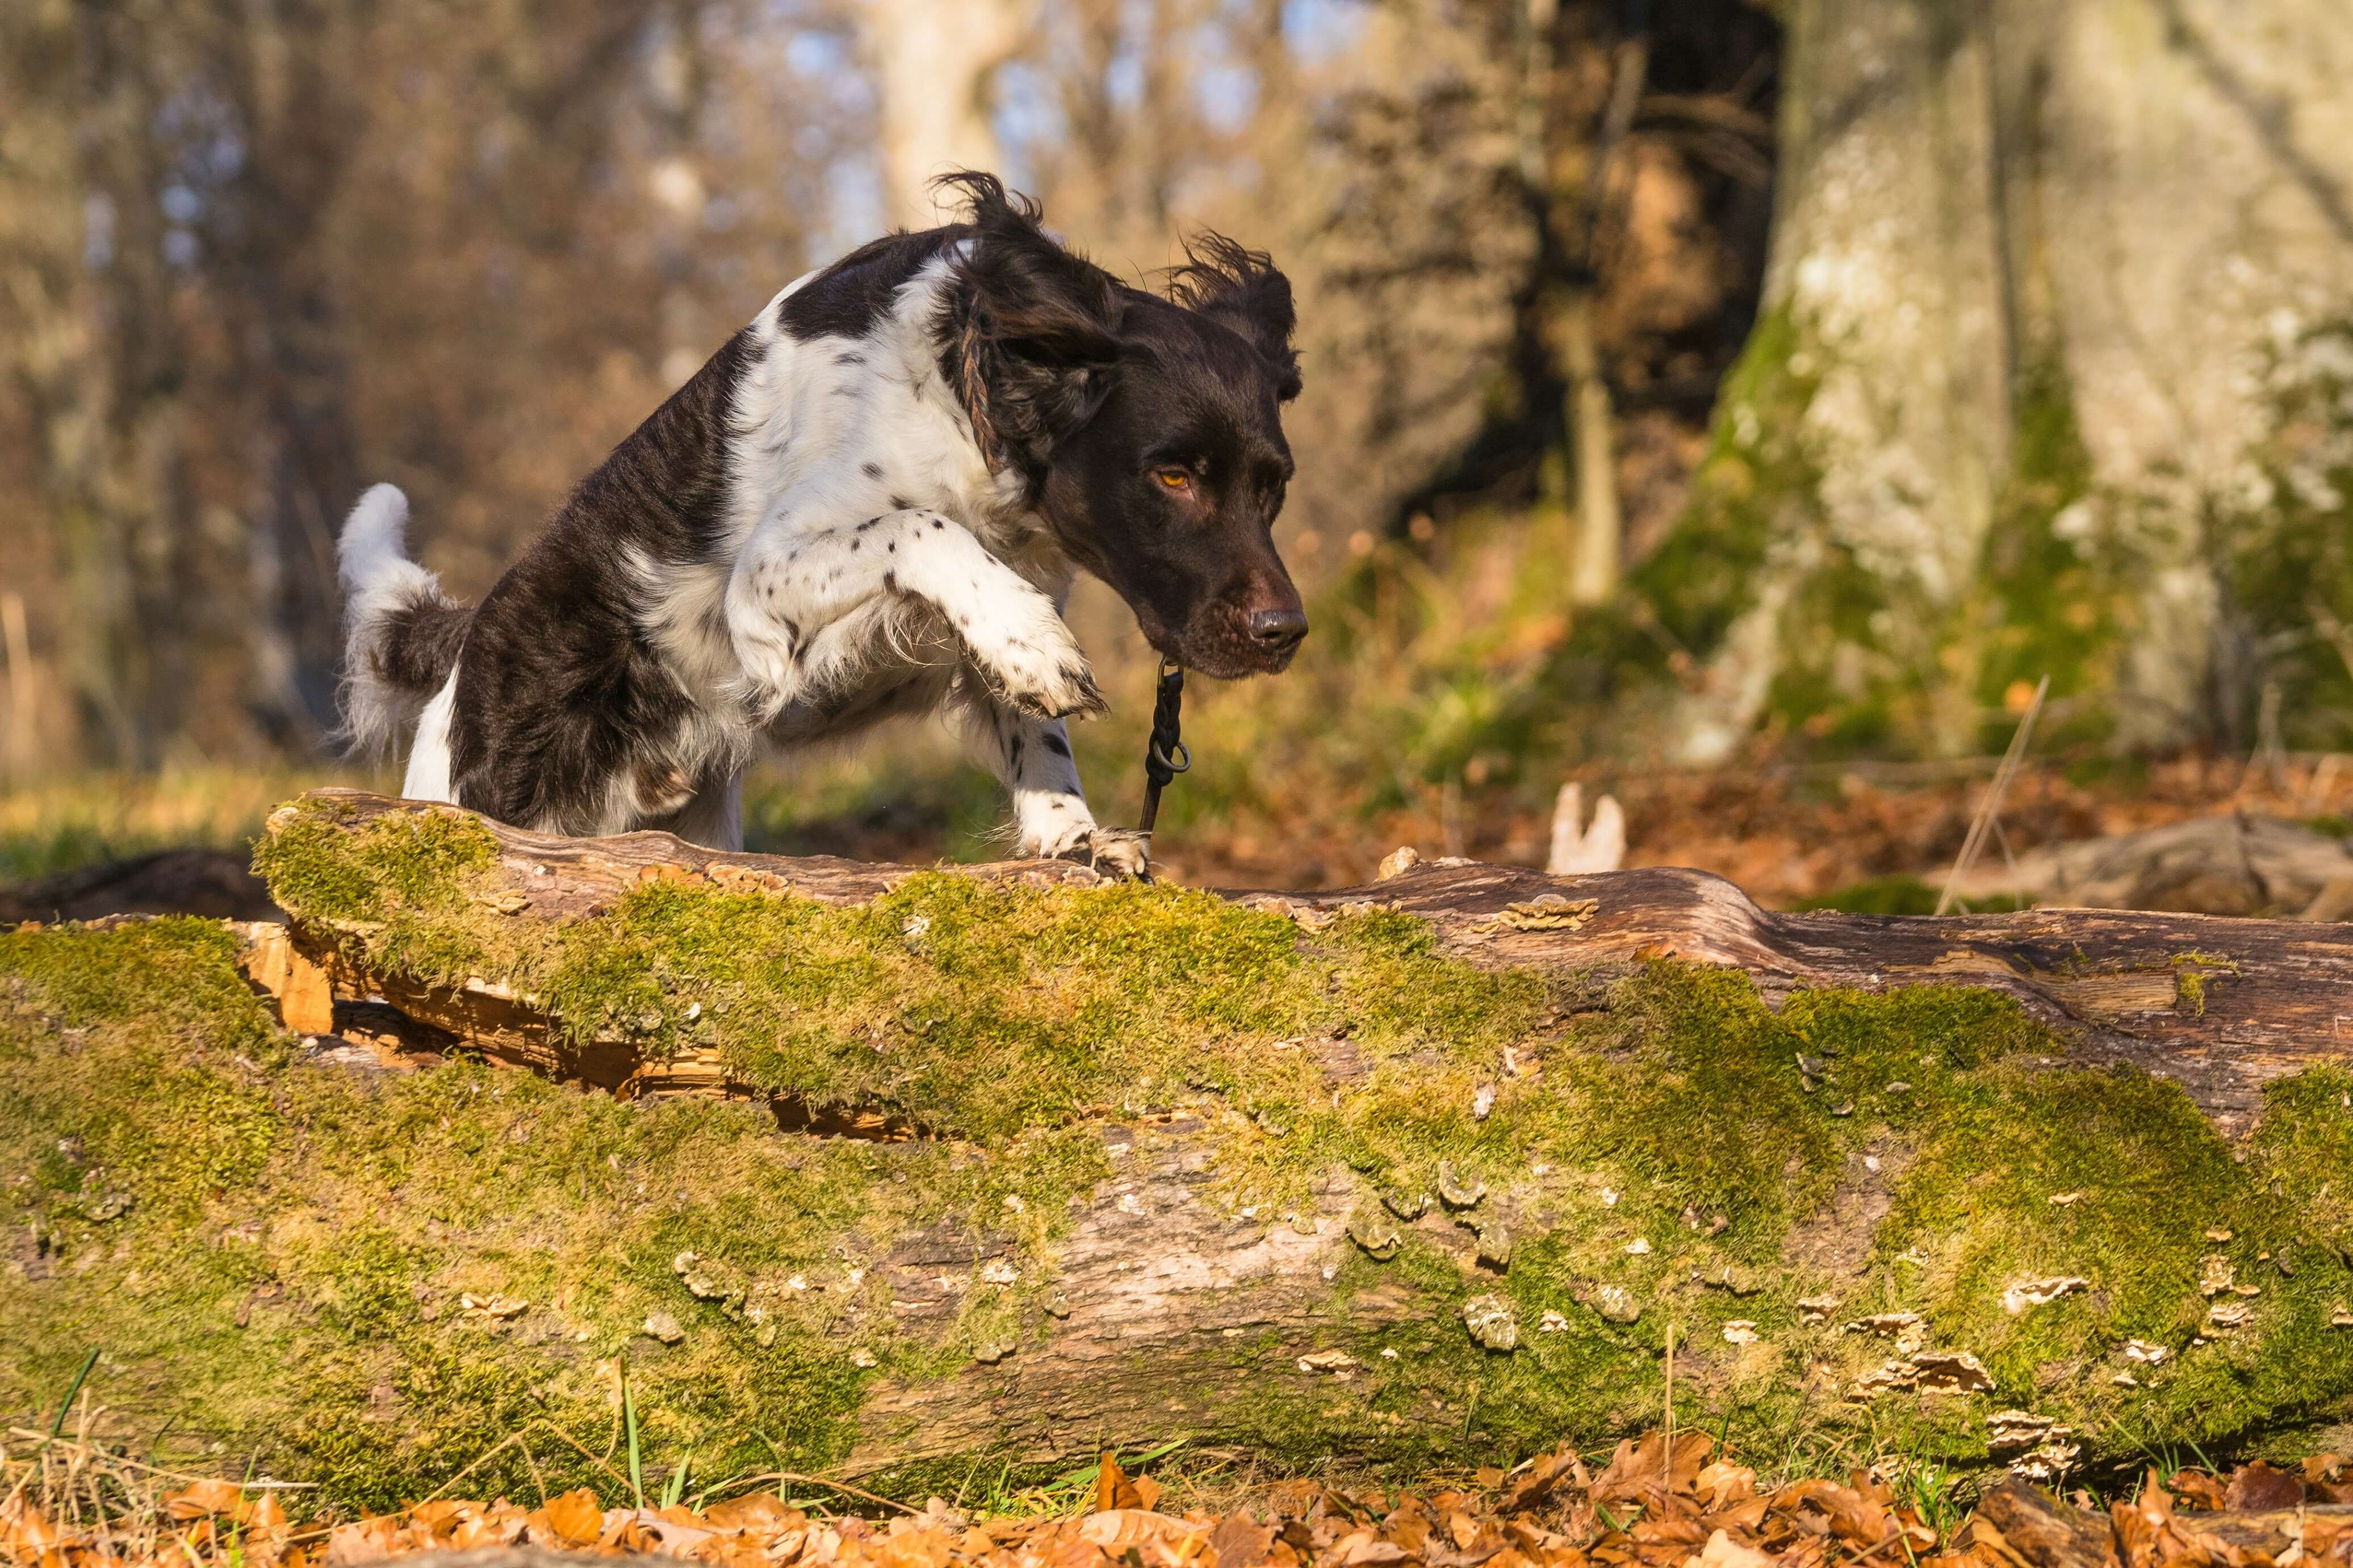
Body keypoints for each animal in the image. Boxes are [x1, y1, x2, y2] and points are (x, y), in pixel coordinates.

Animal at [336, 177, 1308, 883]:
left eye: (1275, 486)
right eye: (1174, 475)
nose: (1283, 632)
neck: (967, 389)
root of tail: (470, 642)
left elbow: (1036, 737)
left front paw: (1074, 838)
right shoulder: (766, 579)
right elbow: (922, 529)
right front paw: (1034, 644)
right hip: (490, 795)